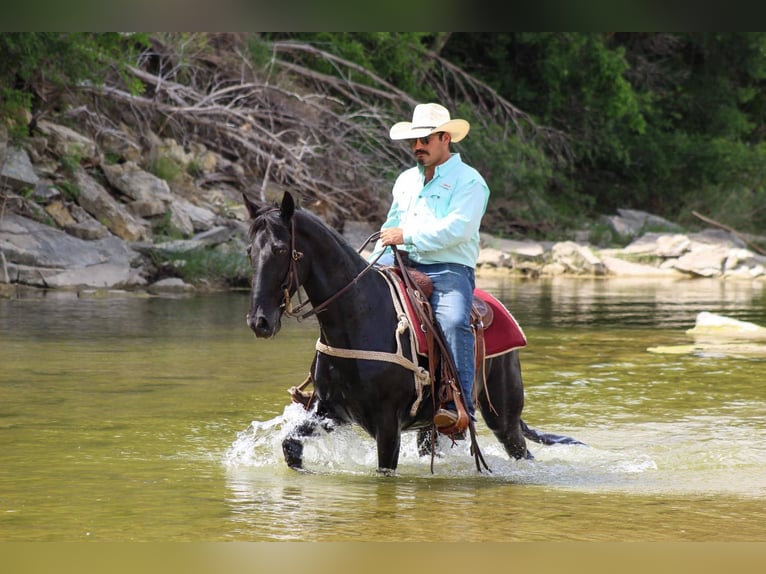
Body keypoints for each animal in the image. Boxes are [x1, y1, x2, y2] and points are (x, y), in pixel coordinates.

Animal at [244, 191, 582, 473]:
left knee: (520, 449)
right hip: (430, 428)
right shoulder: (330, 411)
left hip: (503, 418)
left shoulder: (387, 424)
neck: (359, 318)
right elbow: (290, 446)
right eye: (249, 251)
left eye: (280, 249)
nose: (259, 321)